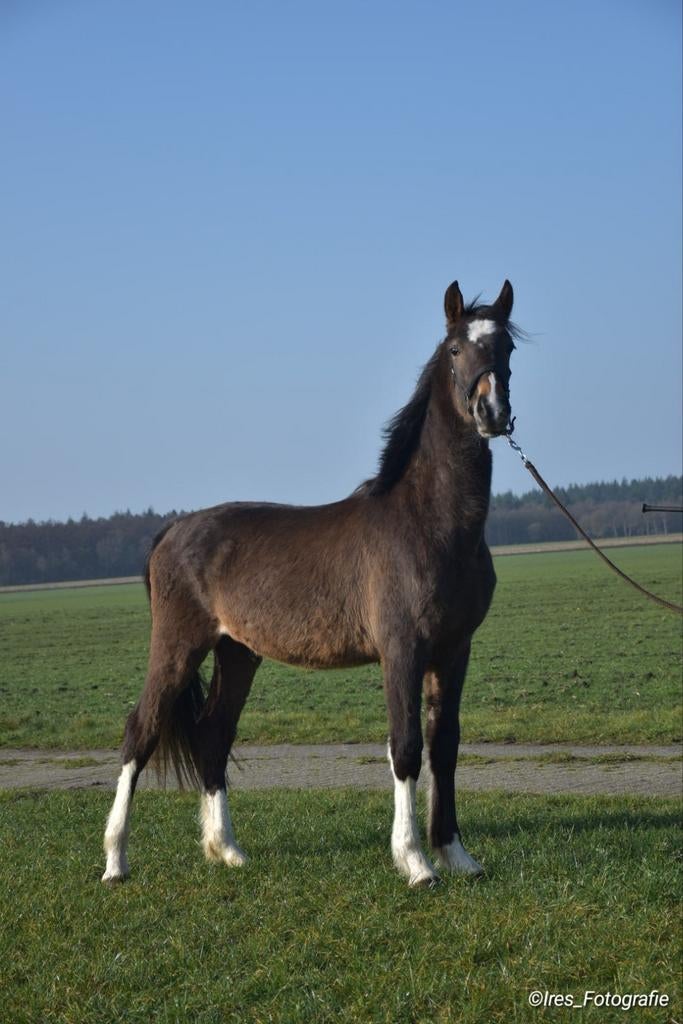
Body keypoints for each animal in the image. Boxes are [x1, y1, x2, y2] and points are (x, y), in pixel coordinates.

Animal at [102, 278, 517, 887]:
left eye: (506, 348)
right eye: (456, 349)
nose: (492, 411)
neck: (428, 523)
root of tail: (173, 530)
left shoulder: (453, 650)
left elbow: (444, 747)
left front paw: (457, 856)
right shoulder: (402, 650)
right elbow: (406, 748)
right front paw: (415, 863)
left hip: (237, 653)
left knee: (213, 737)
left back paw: (227, 850)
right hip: (178, 648)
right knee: (141, 733)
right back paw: (115, 861)